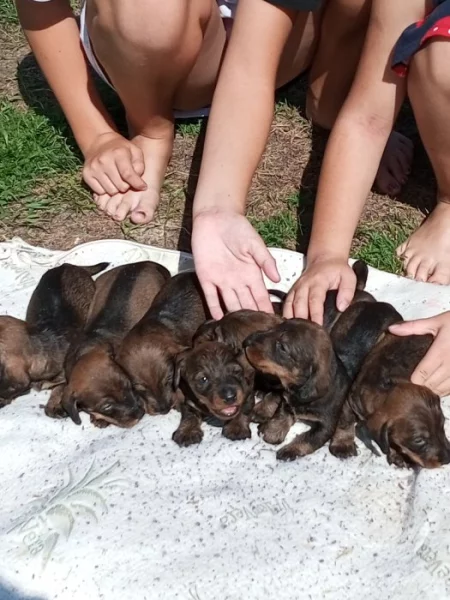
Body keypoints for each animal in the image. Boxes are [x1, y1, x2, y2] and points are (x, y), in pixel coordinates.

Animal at [243, 322, 352, 462]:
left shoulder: (326, 425)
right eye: (273, 328)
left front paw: (289, 450)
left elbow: (308, 439)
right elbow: (281, 414)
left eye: (282, 347)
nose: (246, 341)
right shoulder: (286, 401)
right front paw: (271, 432)